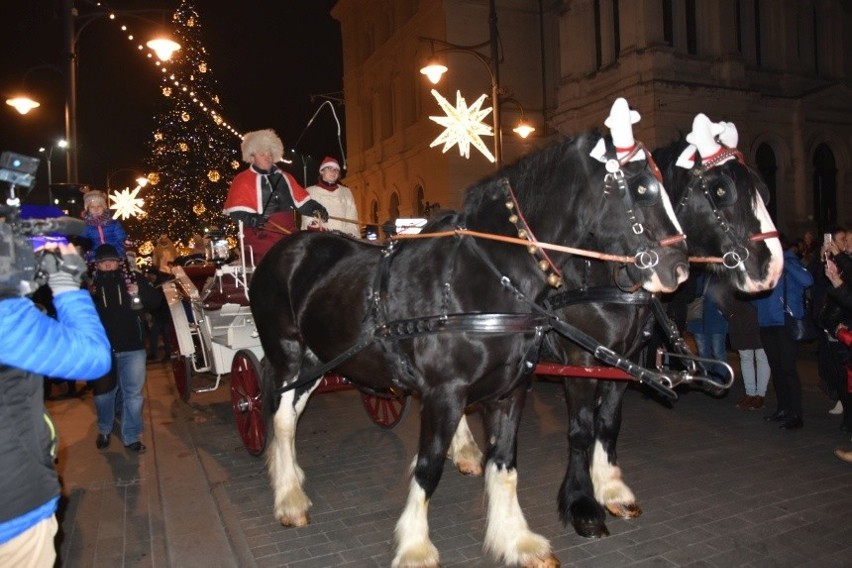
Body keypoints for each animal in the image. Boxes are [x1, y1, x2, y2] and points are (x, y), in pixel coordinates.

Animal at [250, 126, 688, 564]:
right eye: (643, 187)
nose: (678, 269)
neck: (489, 276)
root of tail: (288, 247)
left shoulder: (514, 390)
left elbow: (507, 463)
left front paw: (517, 539)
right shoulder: (447, 392)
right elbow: (428, 467)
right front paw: (415, 546)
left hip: (318, 359)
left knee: (294, 411)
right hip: (288, 355)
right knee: (281, 418)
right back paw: (289, 497)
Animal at [536, 114, 784, 536]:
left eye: (763, 189)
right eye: (721, 190)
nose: (773, 267)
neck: (598, 272)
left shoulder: (625, 358)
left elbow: (608, 423)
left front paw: (613, 491)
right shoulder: (580, 361)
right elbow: (581, 429)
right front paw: (582, 504)